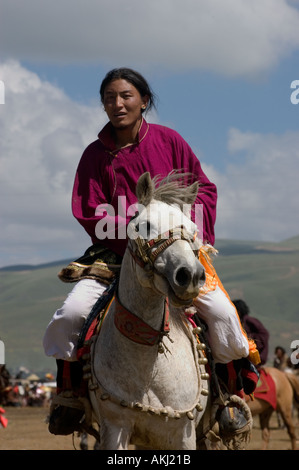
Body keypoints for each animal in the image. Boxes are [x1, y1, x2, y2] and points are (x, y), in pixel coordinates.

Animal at [87, 171, 213, 450]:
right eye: (144, 226)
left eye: (194, 230)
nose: (189, 275)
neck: (148, 364)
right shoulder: (115, 427)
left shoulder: (184, 433)